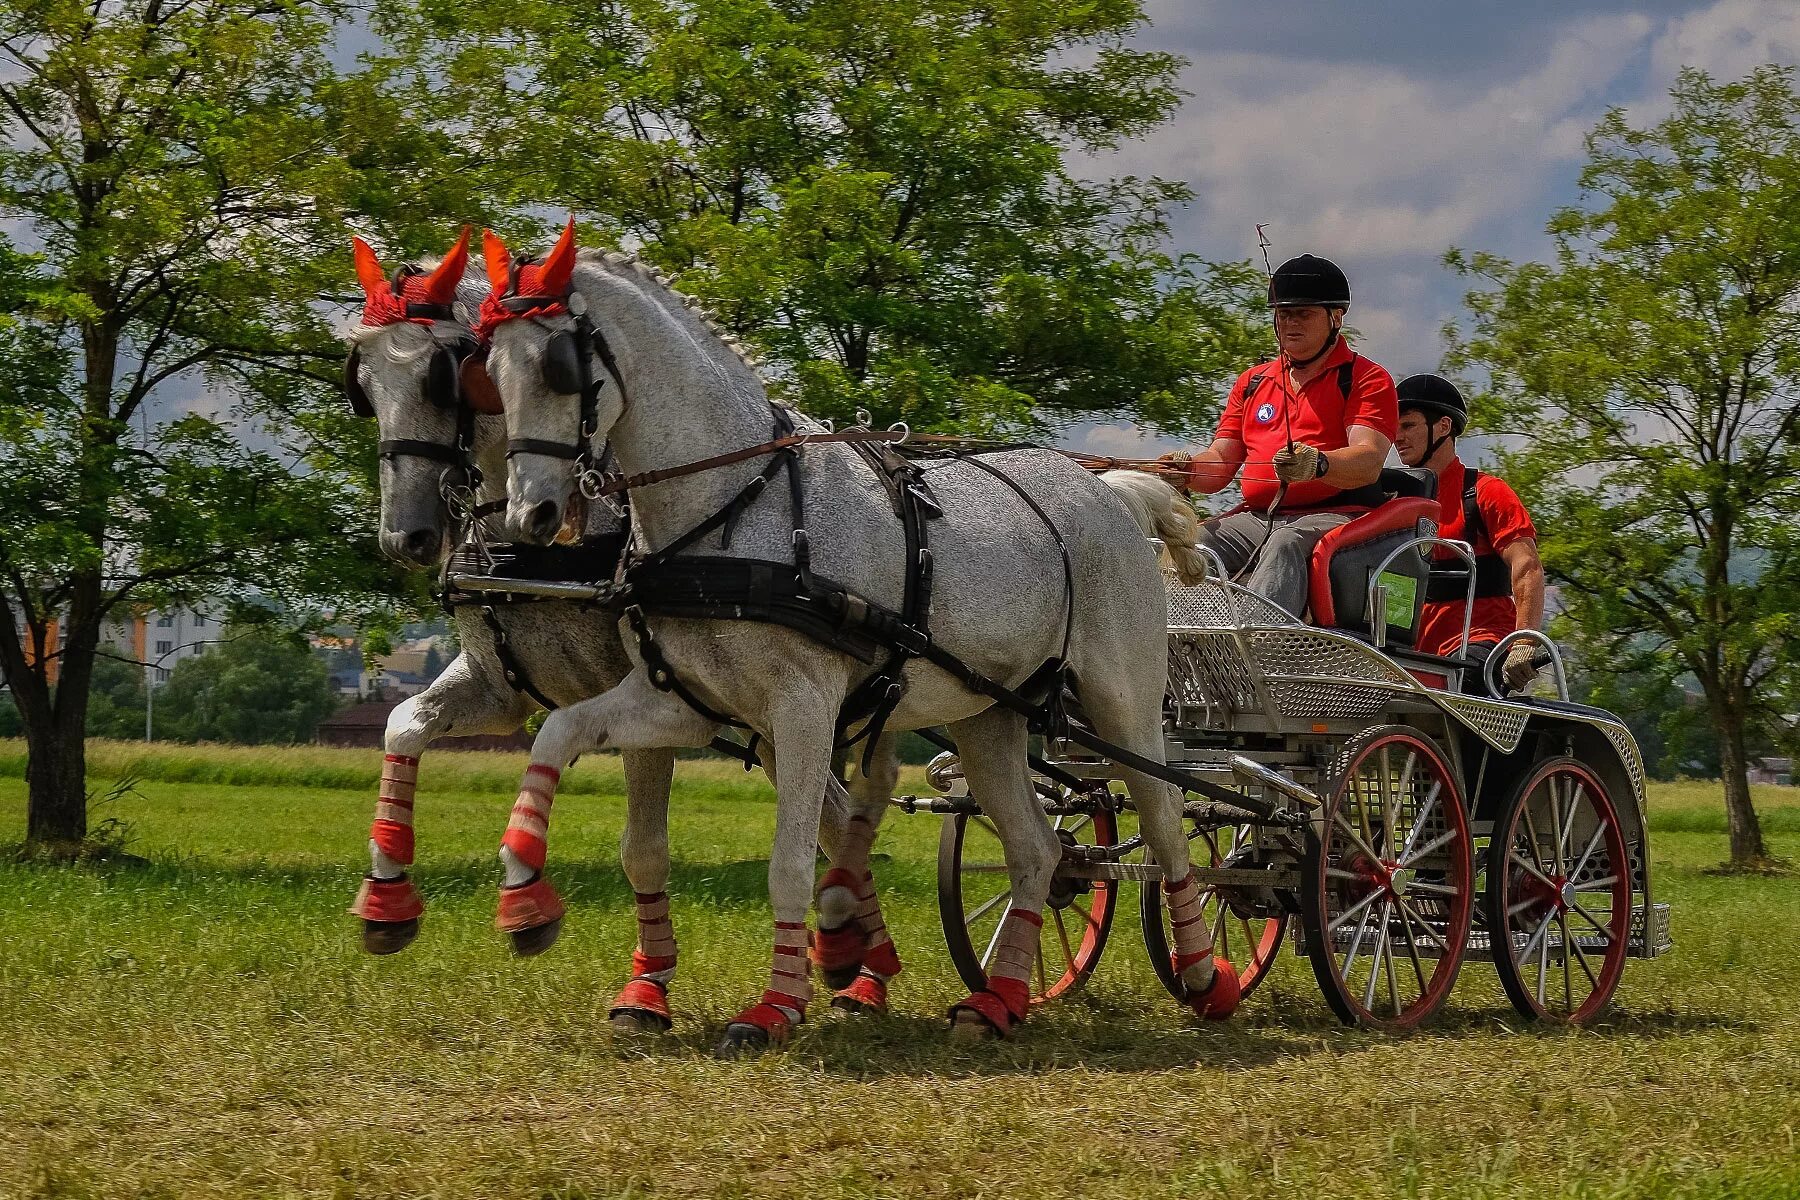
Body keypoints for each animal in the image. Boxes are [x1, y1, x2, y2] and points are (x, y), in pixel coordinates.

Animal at [340, 230, 900, 1029]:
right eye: (362, 383)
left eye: (446, 379)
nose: (405, 537)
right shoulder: (498, 688)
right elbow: (404, 725)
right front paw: (387, 899)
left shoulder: (648, 694)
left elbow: (643, 847)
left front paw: (644, 982)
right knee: (837, 813)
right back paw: (854, 955)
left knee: (838, 812)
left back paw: (865, 968)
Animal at [478, 224, 1238, 1050]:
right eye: (489, 370)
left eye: (558, 368)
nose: (530, 516)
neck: (731, 507)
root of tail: (1109, 491)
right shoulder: (682, 701)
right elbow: (559, 732)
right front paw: (524, 898)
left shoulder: (804, 706)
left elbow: (789, 863)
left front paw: (778, 1004)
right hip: (989, 714)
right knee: (1039, 848)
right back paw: (999, 1000)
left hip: (1123, 700)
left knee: (1165, 822)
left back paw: (1206, 975)